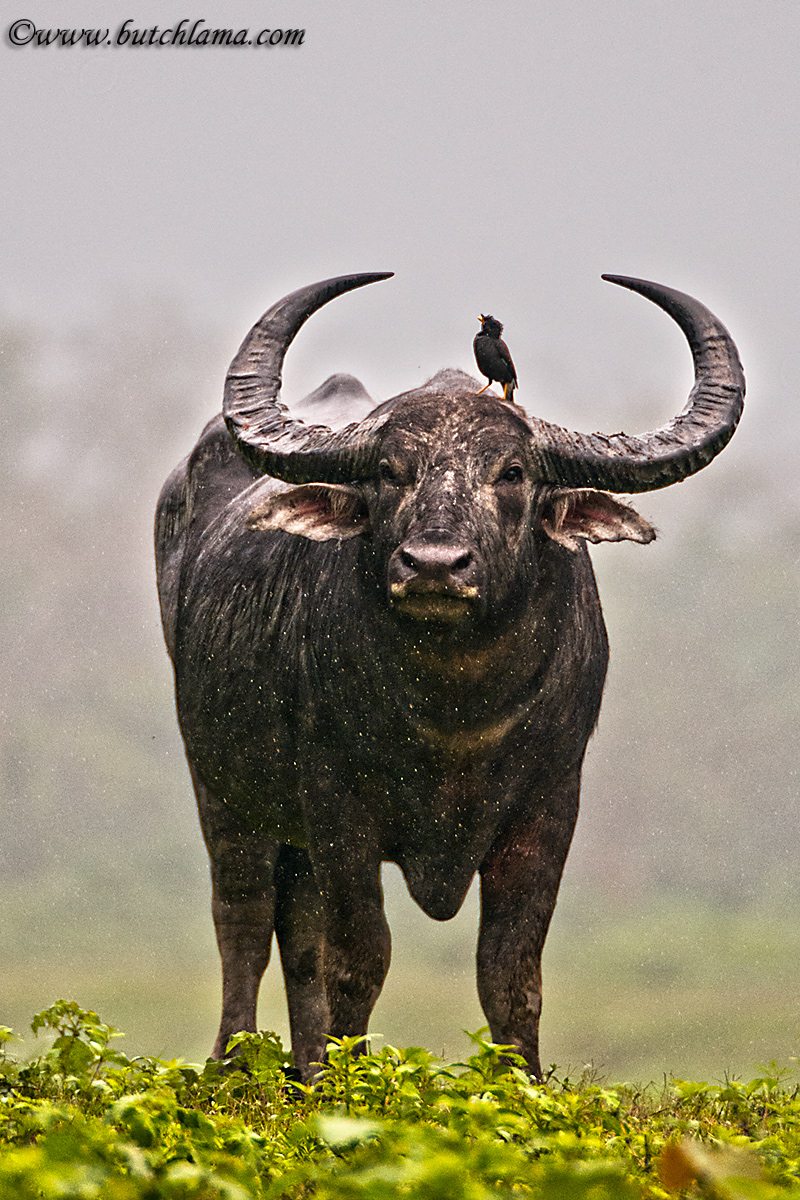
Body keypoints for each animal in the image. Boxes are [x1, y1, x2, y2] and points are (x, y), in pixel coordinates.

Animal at [156, 272, 744, 1079]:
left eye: (514, 473)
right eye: (387, 473)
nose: (434, 565)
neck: (453, 708)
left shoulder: (548, 806)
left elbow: (510, 967)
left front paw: (521, 1082)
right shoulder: (337, 805)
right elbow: (359, 958)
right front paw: (349, 1081)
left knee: (296, 932)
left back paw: (306, 1070)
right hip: (223, 782)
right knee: (243, 919)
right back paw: (237, 1063)